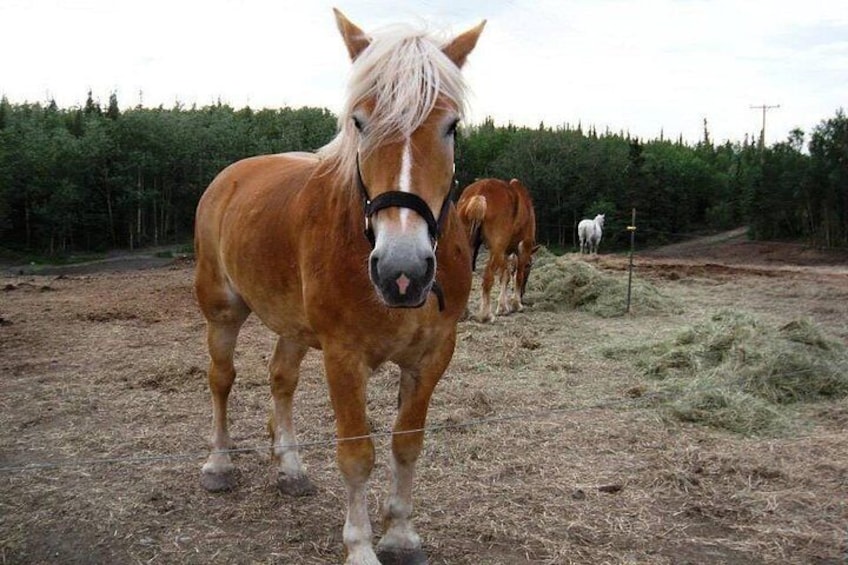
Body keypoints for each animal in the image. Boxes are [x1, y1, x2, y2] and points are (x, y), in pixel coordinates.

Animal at [193, 10, 484, 564]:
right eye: (360, 121)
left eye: (452, 126)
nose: (402, 269)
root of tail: (231, 176)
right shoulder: (343, 355)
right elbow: (356, 454)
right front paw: (362, 546)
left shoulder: (433, 354)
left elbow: (406, 442)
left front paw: (400, 534)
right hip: (222, 310)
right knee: (222, 379)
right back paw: (219, 464)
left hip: (292, 325)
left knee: (281, 379)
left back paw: (289, 468)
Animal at [456, 178, 539, 322]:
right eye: (529, 265)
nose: (523, 294)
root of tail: (481, 191)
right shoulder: (524, 246)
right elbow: (518, 275)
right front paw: (516, 304)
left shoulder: (506, 253)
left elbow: (505, 276)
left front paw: (502, 307)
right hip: (496, 250)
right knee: (487, 279)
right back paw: (485, 315)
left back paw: (463, 313)